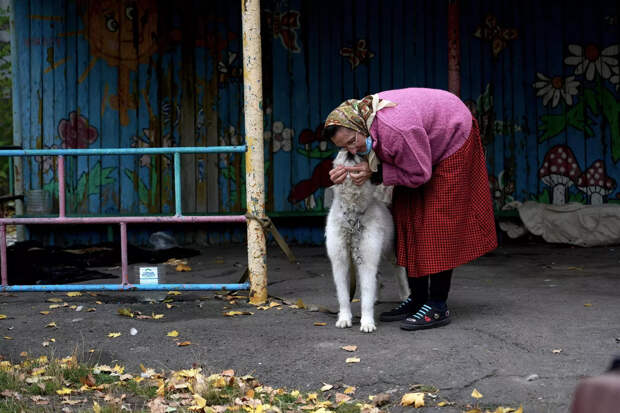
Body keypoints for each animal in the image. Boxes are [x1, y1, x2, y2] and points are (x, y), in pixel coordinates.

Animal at [324, 150, 412, 334]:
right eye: (341, 152)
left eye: (360, 155)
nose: (349, 151)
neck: (352, 216)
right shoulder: (340, 262)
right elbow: (343, 296)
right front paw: (344, 318)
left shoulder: (367, 261)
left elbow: (365, 296)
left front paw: (367, 322)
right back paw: (376, 298)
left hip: (391, 252)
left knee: (399, 272)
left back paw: (406, 296)